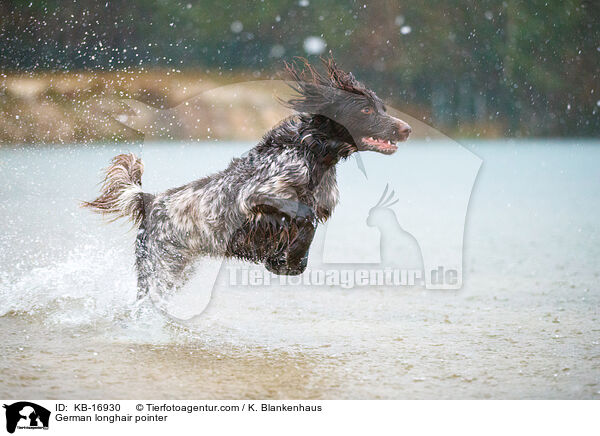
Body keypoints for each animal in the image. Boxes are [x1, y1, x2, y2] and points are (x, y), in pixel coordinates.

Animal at [84, 56, 410, 298]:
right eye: (366, 110)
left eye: (382, 107)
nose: (406, 129)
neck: (313, 152)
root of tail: (149, 200)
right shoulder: (257, 196)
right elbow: (304, 216)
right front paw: (282, 259)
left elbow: (308, 231)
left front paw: (284, 262)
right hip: (160, 266)